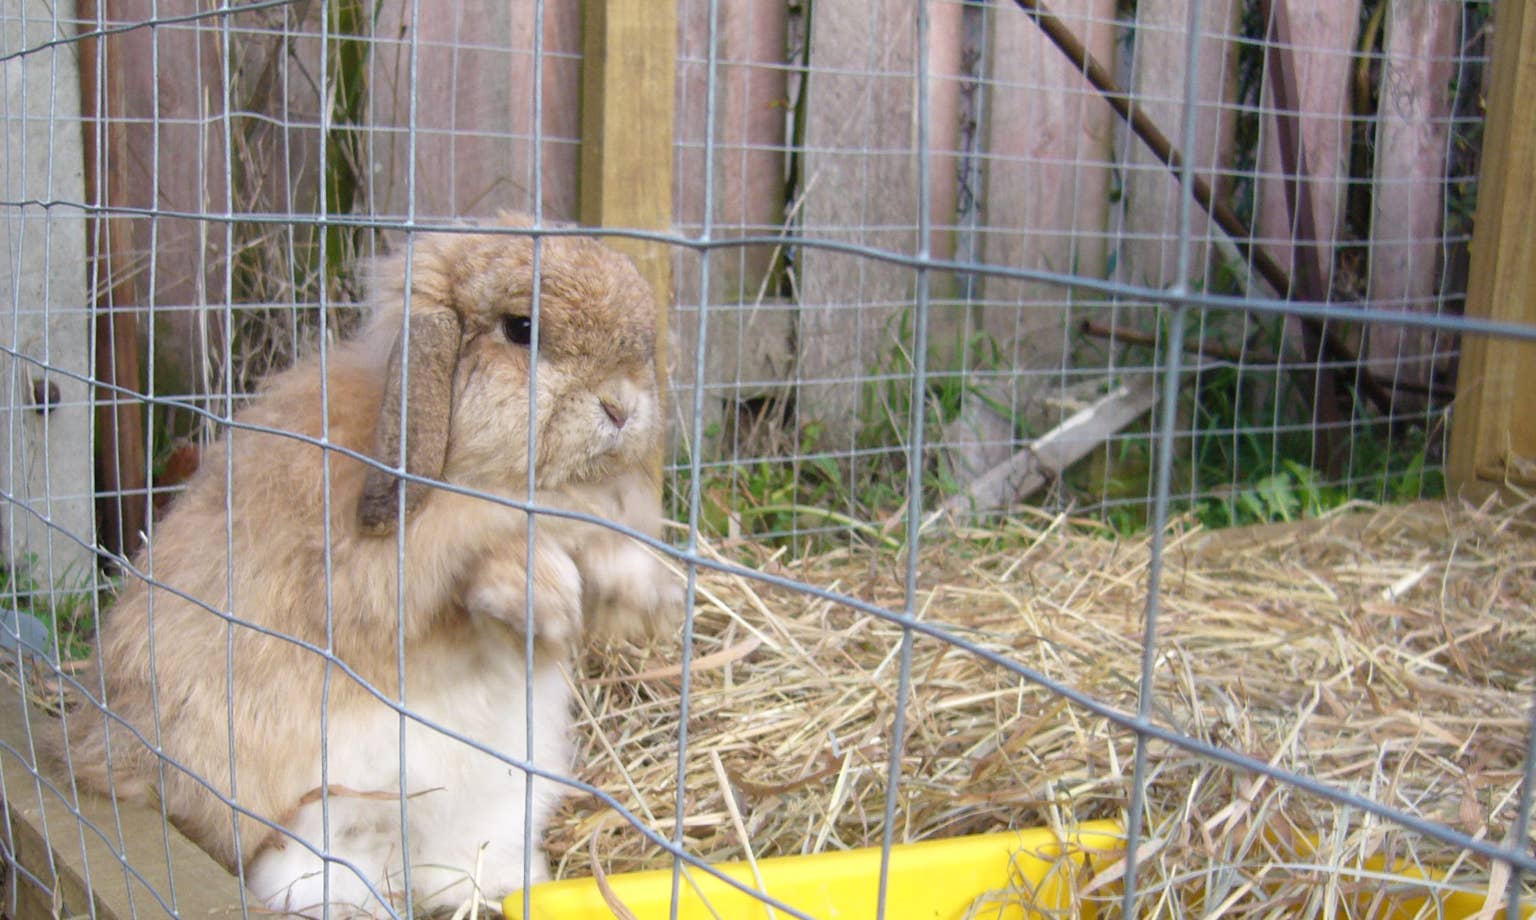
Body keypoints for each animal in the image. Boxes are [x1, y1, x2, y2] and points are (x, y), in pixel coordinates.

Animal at [62, 216, 680, 917]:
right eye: (521, 328)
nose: (622, 408)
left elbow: (606, 556)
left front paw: (653, 602)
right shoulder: (382, 570)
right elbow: (473, 563)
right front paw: (544, 599)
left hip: (497, 790)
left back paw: (495, 885)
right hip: (316, 799)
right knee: (308, 862)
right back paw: (345, 905)